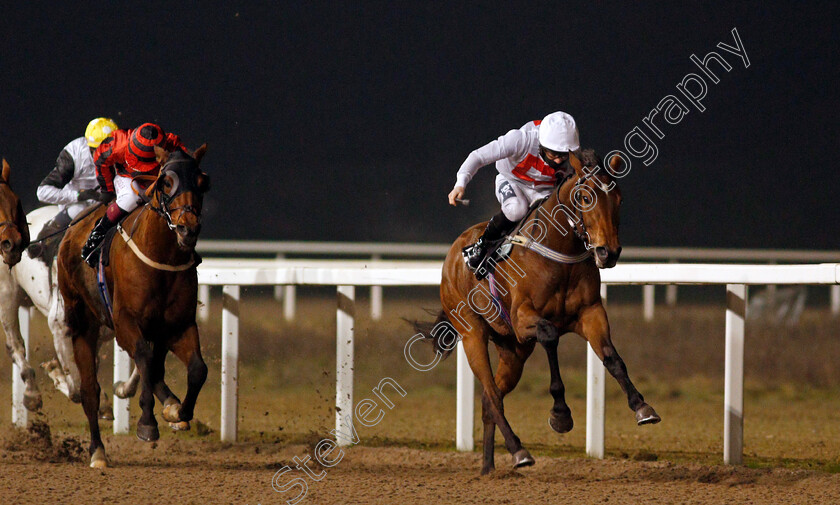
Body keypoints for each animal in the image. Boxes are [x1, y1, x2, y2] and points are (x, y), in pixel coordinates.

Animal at [57, 144, 210, 466]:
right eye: (166, 182)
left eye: (203, 183)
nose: (187, 229)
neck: (162, 259)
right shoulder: (126, 321)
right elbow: (144, 357)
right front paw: (147, 423)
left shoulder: (178, 325)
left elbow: (196, 369)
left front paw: (179, 411)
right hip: (82, 321)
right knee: (90, 390)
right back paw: (97, 451)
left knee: (157, 367)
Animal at [434, 149, 656, 472]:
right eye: (585, 197)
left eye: (619, 199)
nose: (608, 252)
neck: (559, 251)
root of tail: (453, 253)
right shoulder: (523, 318)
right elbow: (550, 335)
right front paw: (561, 414)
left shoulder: (590, 313)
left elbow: (612, 357)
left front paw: (642, 407)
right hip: (472, 332)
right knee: (492, 394)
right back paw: (519, 451)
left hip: (513, 350)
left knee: (490, 399)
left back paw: (489, 467)